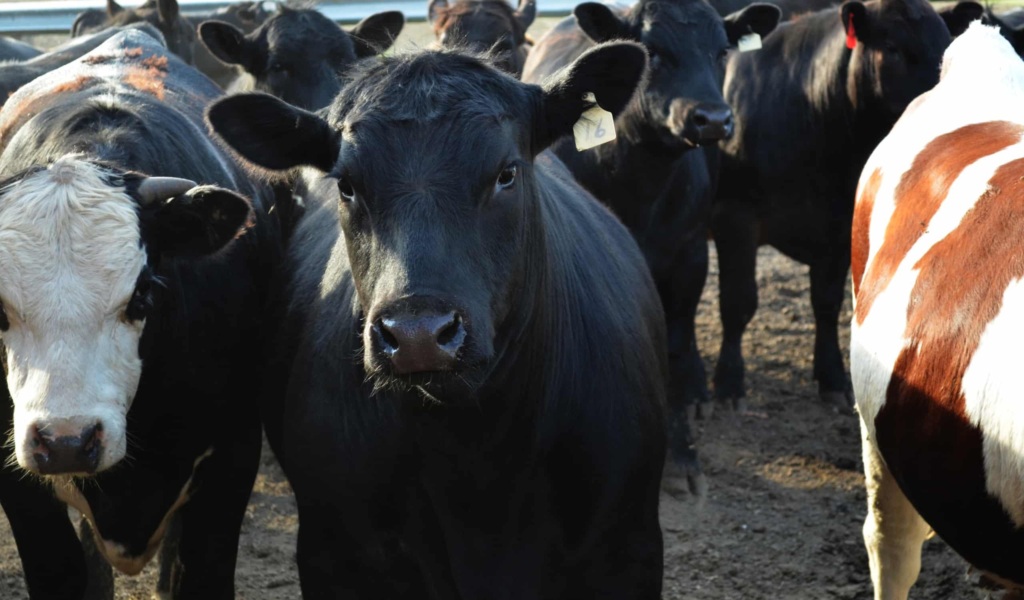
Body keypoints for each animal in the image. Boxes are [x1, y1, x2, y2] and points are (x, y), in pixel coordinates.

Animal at [521, 0, 779, 489]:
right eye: (654, 51)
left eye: (722, 50)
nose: (712, 119)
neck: (640, 183)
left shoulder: (689, 255)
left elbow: (676, 347)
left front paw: (682, 454)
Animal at [711, 0, 959, 413]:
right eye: (892, 47)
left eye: (947, 42)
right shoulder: (735, 217)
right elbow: (738, 300)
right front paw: (729, 384)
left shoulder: (837, 225)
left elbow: (826, 304)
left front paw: (832, 378)